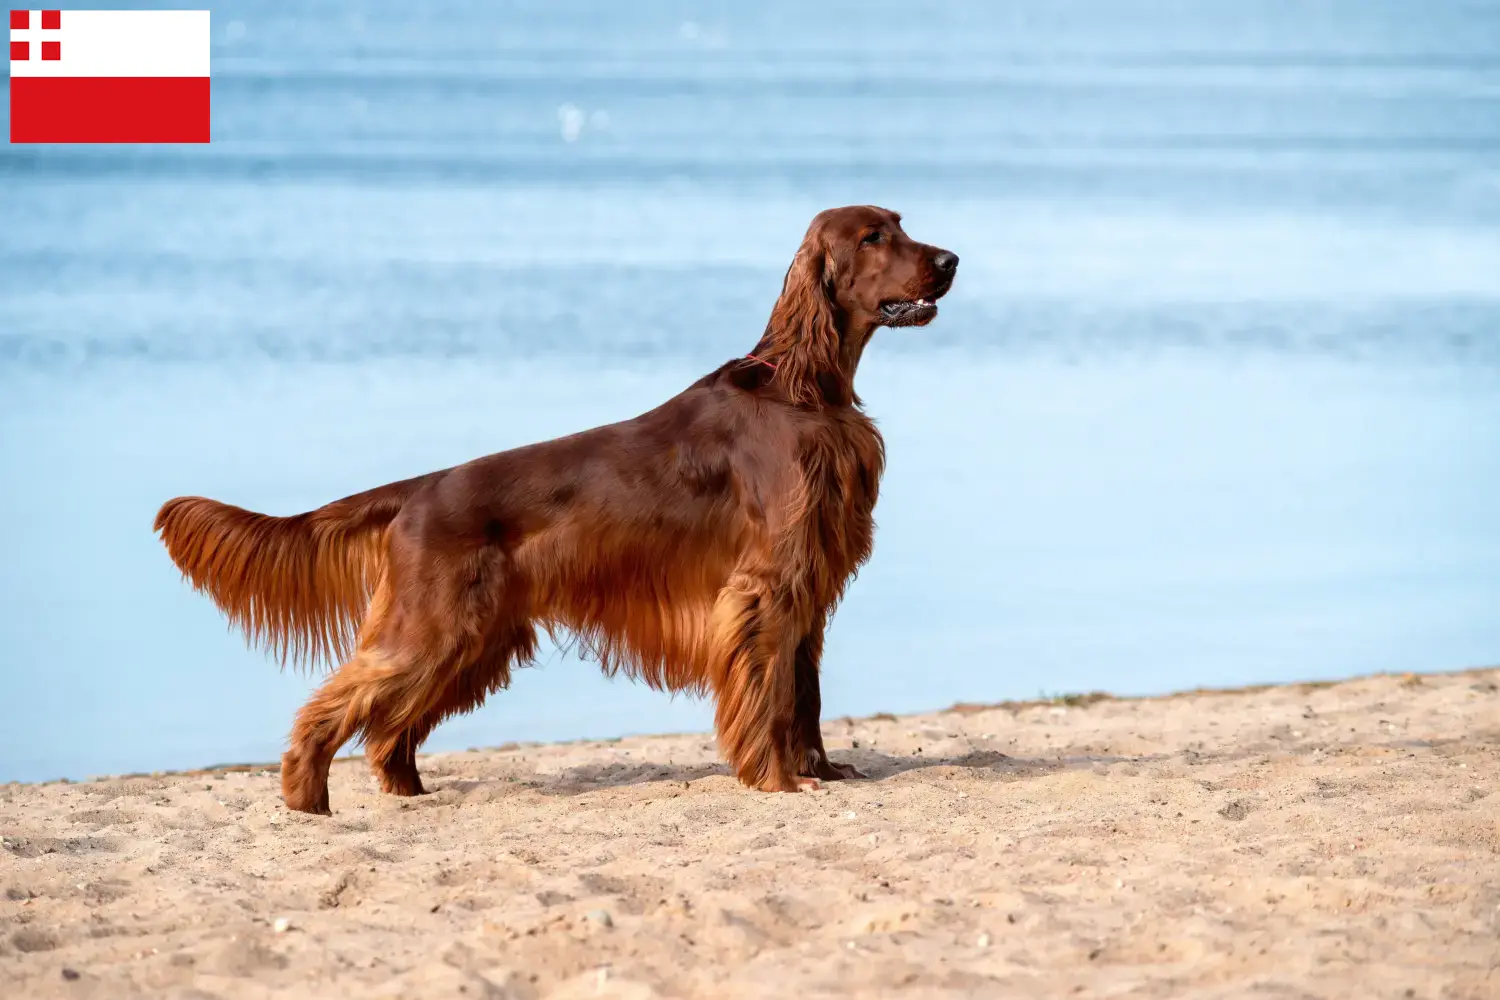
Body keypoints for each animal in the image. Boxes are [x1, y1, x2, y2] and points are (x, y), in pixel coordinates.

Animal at [158, 206, 954, 815]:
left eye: (901, 224)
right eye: (873, 237)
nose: (950, 259)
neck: (803, 387)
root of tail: (419, 490)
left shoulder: (808, 586)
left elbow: (805, 692)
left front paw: (819, 769)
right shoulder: (766, 587)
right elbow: (772, 691)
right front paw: (779, 780)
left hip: (474, 638)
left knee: (389, 729)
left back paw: (406, 791)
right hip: (433, 627)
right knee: (338, 705)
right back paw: (307, 799)